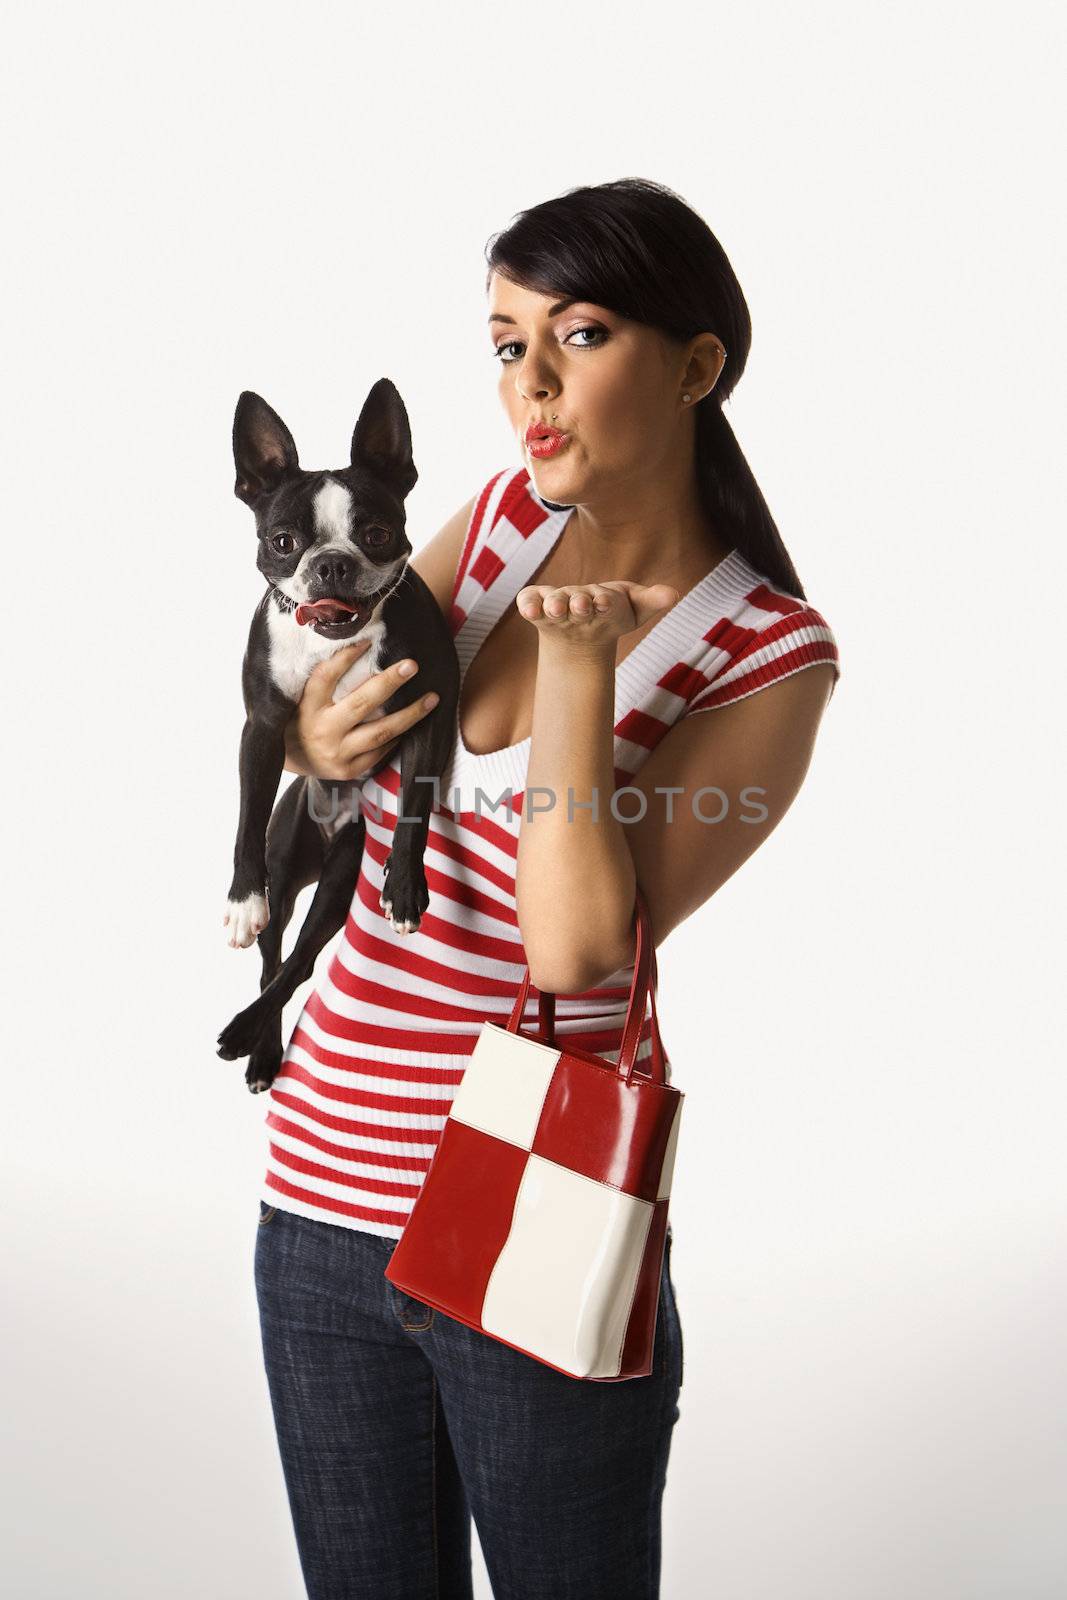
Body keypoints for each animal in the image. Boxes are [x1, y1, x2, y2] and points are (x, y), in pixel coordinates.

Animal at [215, 380, 460, 1094]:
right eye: (283, 541)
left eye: (376, 534)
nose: (329, 565)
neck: (339, 643)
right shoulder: (263, 729)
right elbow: (246, 814)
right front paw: (241, 900)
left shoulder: (431, 712)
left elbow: (414, 805)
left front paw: (404, 887)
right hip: (289, 853)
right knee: (274, 960)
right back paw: (258, 1045)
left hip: (345, 867)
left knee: (300, 960)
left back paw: (244, 1035)